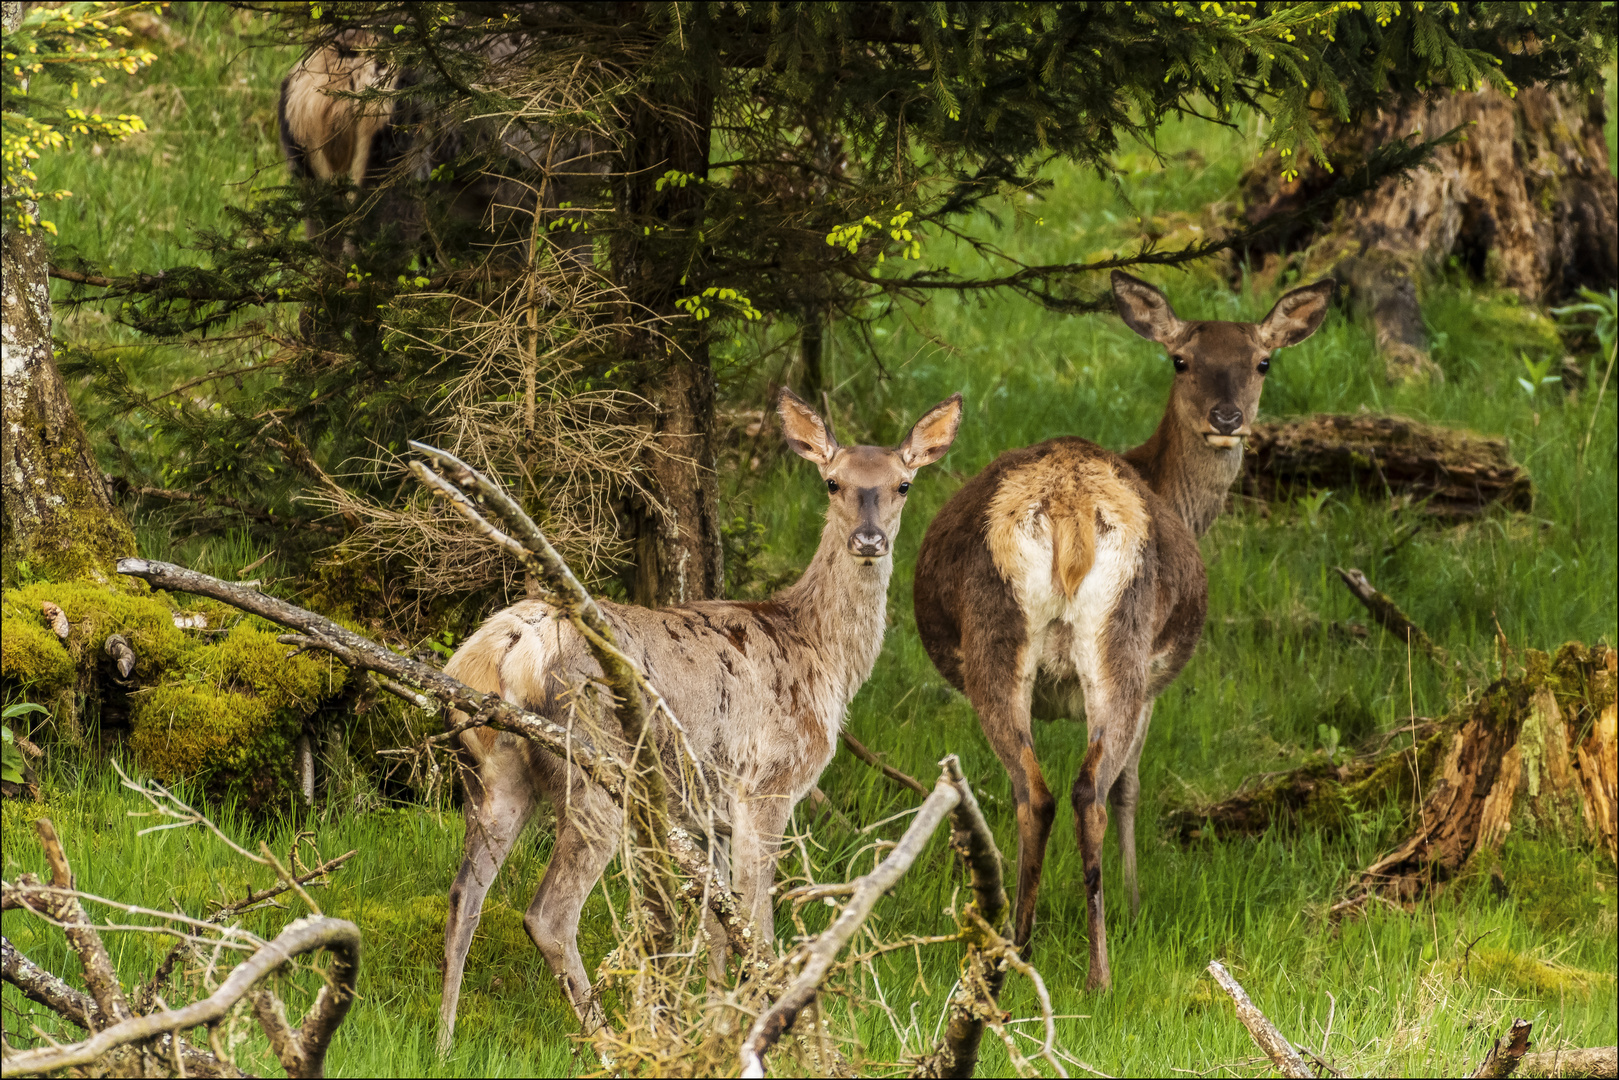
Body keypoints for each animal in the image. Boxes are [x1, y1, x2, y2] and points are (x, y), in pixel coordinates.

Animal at [433, 386, 958, 1049]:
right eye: (833, 482)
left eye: (903, 484)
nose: (868, 540)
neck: (823, 657)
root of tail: (505, 648)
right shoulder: (769, 784)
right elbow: (755, 923)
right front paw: (767, 1031)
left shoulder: (709, 813)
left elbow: (715, 925)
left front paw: (713, 1025)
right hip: (597, 766)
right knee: (548, 914)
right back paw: (610, 1042)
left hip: (492, 770)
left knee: (462, 895)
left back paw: (444, 1041)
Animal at [913, 270, 1327, 990]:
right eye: (1181, 360)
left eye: (1261, 361)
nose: (1227, 418)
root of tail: (1068, 507)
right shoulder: (1161, 677)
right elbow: (1133, 785)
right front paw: (1135, 903)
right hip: (1119, 639)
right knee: (1089, 790)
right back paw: (1092, 968)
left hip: (1012, 648)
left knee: (1038, 791)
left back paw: (1021, 953)